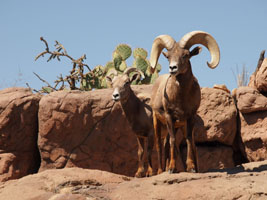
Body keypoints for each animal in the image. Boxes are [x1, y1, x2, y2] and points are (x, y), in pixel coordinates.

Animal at [150, 30, 221, 173]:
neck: (181, 98)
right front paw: (172, 168)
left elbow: (188, 141)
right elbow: (172, 141)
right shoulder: (169, 116)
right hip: (157, 122)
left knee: (170, 144)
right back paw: (161, 171)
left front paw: (191, 168)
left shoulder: (189, 117)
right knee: (159, 145)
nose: (173, 68)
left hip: (178, 126)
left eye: (186, 55)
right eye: (168, 57)